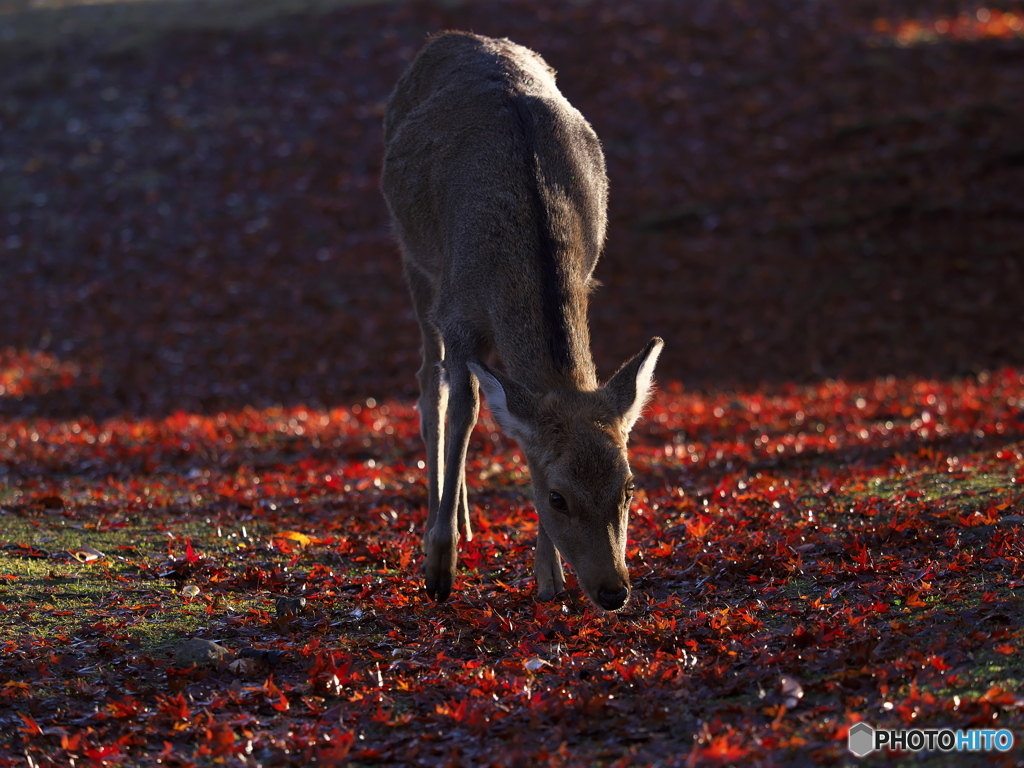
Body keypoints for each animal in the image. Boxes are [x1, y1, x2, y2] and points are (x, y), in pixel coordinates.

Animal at [380, 31, 659, 614]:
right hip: (414, 257)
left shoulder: (587, 278)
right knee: (431, 385)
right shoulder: (457, 309)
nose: (613, 590)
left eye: (629, 486)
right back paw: (444, 526)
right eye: (558, 497)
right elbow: (465, 409)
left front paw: (548, 578)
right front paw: (439, 568)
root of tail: (450, 36)